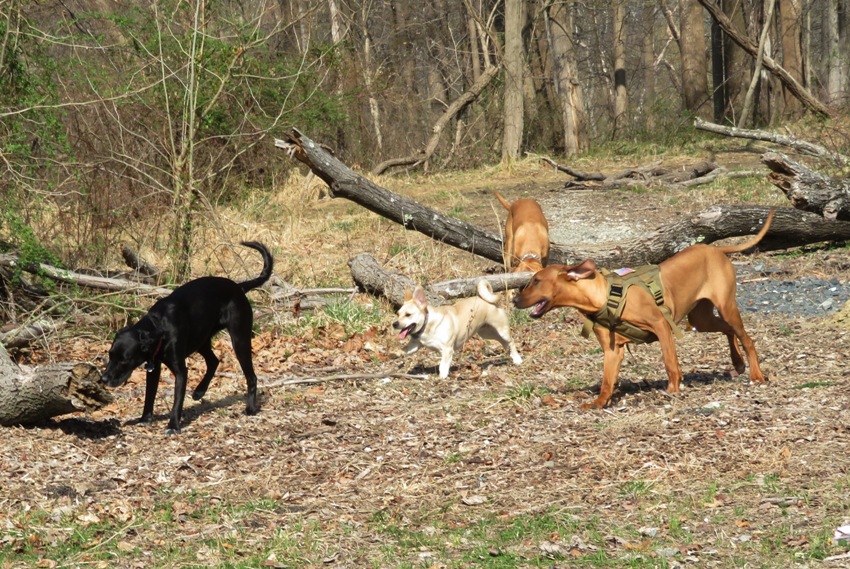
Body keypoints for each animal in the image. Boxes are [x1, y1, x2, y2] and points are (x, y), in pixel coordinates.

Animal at [101, 239, 272, 430]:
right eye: (110, 355)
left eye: (124, 360)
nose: (104, 378)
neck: (158, 327)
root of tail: (238, 287)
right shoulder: (153, 368)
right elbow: (149, 396)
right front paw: (145, 419)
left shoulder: (180, 371)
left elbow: (177, 400)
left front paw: (173, 425)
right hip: (201, 340)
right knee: (214, 361)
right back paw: (199, 390)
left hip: (239, 340)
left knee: (251, 376)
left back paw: (250, 408)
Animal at [392, 280, 524, 378]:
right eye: (398, 314)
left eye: (408, 315)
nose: (394, 324)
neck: (427, 324)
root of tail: (489, 301)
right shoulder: (415, 345)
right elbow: (406, 349)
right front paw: (396, 353)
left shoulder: (447, 350)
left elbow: (443, 365)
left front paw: (442, 377)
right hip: (486, 332)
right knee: (503, 342)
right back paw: (510, 354)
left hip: (501, 329)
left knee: (510, 341)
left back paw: (517, 359)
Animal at [512, 209, 772, 408]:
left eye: (536, 281)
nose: (515, 301)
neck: (604, 297)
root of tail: (716, 249)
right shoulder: (612, 350)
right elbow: (606, 380)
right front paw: (599, 402)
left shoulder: (661, 326)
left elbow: (670, 362)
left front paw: (673, 389)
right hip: (701, 319)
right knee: (728, 330)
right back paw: (737, 362)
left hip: (726, 307)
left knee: (746, 339)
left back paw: (756, 374)